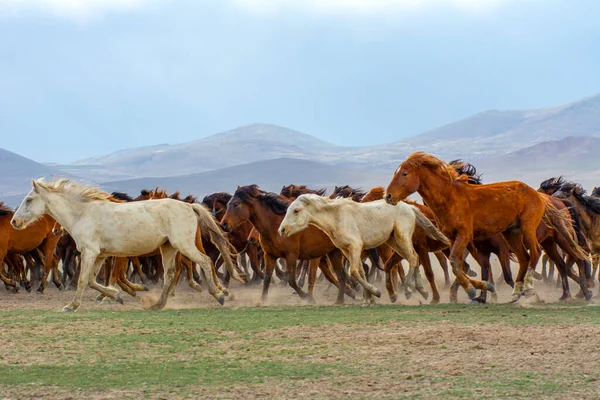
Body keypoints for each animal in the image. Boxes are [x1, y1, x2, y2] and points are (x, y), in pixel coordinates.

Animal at [11, 179, 244, 312]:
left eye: (29, 199)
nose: (14, 222)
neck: (82, 214)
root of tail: (189, 206)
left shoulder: (89, 252)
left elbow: (84, 280)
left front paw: (71, 306)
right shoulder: (100, 255)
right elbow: (93, 281)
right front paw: (116, 296)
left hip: (184, 245)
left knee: (205, 262)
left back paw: (219, 295)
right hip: (168, 247)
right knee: (170, 273)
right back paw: (157, 304)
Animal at [278, 193, 450, 300]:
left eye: (296, 210)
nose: (282, 230)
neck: (336, 217)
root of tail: (410, 207)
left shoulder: (355, 246)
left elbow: (354, 272)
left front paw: (376, 293)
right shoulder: (347, 250)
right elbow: (360, 271)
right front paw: (368, 299)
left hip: (402, 237)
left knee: (413, 258)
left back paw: (409, 289)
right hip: (393, 241)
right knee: (413, 258)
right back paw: (423, 291)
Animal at [386, 153, 588, 304]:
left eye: (404, 174)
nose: (388, 196)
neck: (451, 198)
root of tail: (539, 195)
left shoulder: (466, 236)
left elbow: (457, 264)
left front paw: (472, 291)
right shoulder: (457, 240)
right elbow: (467, 267)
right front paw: (481, 293)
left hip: (534, 230)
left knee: (543, 254)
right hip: (515, 234)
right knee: (530, 258)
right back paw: (522, 292)